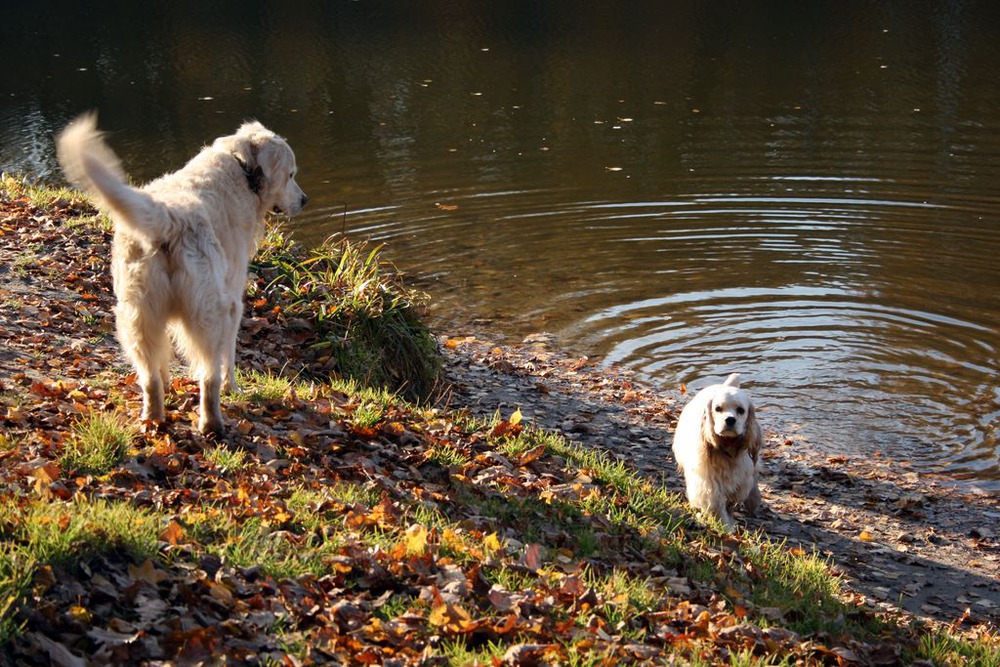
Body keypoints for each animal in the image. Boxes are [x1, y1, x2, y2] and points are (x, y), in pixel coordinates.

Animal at [57, 113, 306, 438]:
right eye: (291, 175)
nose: (305, 200)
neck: (242, 171)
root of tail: (169, 217)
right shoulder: (233, 301)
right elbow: (229, 357)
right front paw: (234, 388)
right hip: (208, 314)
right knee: (209, 377)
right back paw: (212, 424)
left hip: (137, 315)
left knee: (149, 377)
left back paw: (153, 419)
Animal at [672, 374, 764, 528]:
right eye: (718, 408)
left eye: (741, 410)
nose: (730, 420)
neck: (727, 445)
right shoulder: (708, 480)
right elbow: (716, 503)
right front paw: (725, 525)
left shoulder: (743, 475)